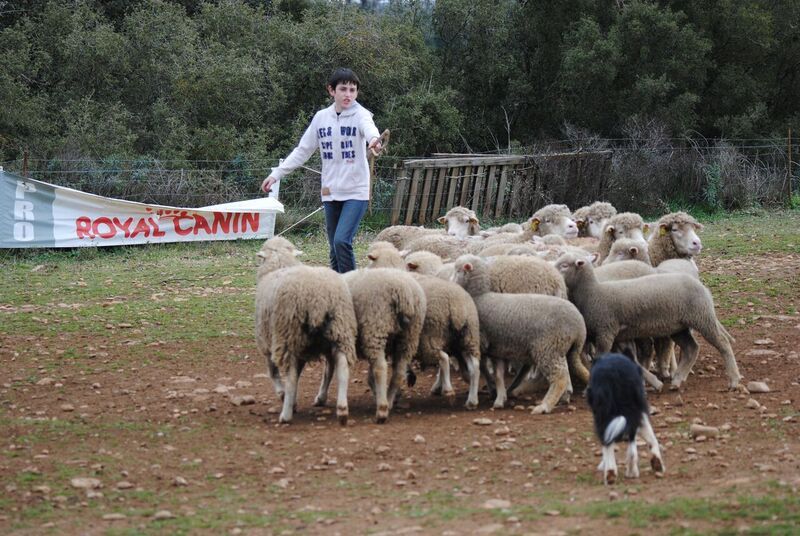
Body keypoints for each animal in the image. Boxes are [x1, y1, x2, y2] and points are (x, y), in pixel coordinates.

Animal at [256, 237, 356, 426]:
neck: (280, 264)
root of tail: (318, 298)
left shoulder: (267, 342)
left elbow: (274, 373)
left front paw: (284, 396)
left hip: (289, 335)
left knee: (291, 377)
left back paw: (286, 415)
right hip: (340, 331)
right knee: (340, 368)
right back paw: (341, 409)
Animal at [346, 268, 432, 422]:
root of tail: (404, 292)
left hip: (375, 326)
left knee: (380, 368)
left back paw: (382, 409)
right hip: (409, 335)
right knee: (399, 372)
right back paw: (389, 400)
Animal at [454, 253, 592, 412]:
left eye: (457, 270)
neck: (480, 296)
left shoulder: (481, 341)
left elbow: (481, 366)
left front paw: (486, 393)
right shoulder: (498, 346)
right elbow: (499, 374)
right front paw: (499, 397)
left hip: (546, 347)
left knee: (558, 376)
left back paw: (544, 405)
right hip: (563, 347)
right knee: (571, 367)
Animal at [552, 253, 740, 388]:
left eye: (564, 265)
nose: (550, 268)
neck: (593, 293)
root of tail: (702, 286)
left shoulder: (606, 332)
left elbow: (601, 358)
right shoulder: (608, 336)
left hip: (702, 317)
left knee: (722, 343)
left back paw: (734, 380)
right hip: (678, 327)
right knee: (691, 348)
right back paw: (677, 380)